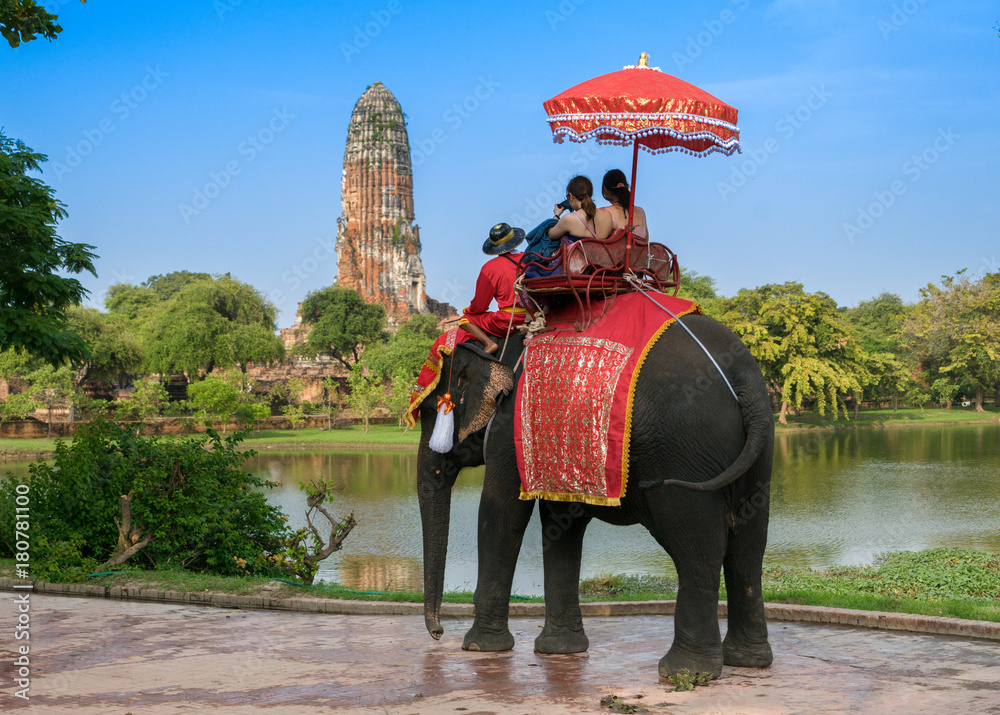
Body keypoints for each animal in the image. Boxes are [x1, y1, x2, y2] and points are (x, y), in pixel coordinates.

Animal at [414, 313, 774, 679]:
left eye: (429, 410)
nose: (438, 632)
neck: (501, 342)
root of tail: (746, 381)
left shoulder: (509, 426)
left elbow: (501, 513)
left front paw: (479, 647)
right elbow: (561, 522)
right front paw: (560, 650)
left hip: (685, 449)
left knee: (699, 547)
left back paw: (685, 673)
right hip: (757, 456)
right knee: (747, 547)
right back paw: (747, 661)